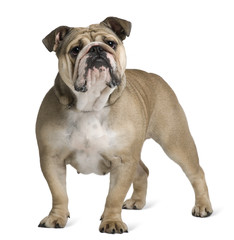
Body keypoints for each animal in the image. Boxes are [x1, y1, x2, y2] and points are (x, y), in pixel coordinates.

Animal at [36, 16, 212, 234]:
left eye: (111, 43)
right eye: (75, 49)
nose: (96, 49)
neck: (91, 105)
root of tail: (154, 76)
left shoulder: (123, 160)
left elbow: (114, 196)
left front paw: (112, 221)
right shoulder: (52, 159)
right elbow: (59, 193)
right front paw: (56, 217)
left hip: (175, 142)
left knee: (196, 172)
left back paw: (203, 206)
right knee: (143, 171)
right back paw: (137, 201)